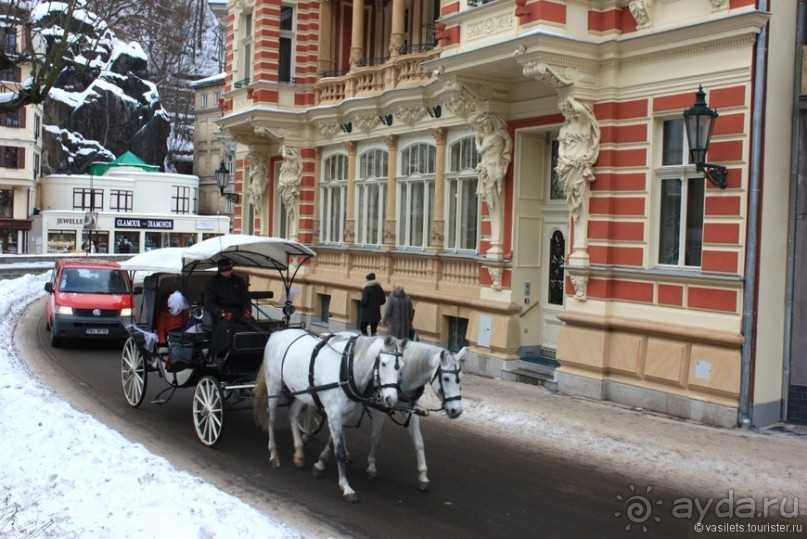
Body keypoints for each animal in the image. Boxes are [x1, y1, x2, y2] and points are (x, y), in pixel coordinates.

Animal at [254, 332, 402, 504]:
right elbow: (339, 451)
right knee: (271, 417)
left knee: (293, 414)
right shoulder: (334, 413)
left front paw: (319, 465)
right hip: (274, 386)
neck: (346, 369)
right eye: (383, 364)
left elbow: (334, 443)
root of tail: (277, 333)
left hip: (302, 393)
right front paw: (346, 487)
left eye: (401, 368)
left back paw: (299, 453)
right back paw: (274, 455)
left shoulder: (342, 415)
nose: (391, 400)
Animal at [368, 344, 464, 492]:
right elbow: (376, 437)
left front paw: (423, 476)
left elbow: (419, 441)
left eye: (461, 377)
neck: (401, 375)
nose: (457, 411)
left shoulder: (410, 411)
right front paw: (372, 466)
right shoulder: (380, 408)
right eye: (447, 378)